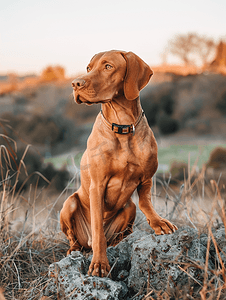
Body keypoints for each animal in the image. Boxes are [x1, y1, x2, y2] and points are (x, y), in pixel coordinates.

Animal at [60, 49, 177, 276]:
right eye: (89, 68)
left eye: (108, 66)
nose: (75, 84)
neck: (122, 126)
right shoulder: (97, 186)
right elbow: (98, 230)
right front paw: (99, 263)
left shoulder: (146, 179)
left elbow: (145, 202)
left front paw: (158, 222)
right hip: (69, 203)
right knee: (77, 237)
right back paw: (75, 249)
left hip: (128, 208)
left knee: (124, 227)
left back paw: (119, 241)